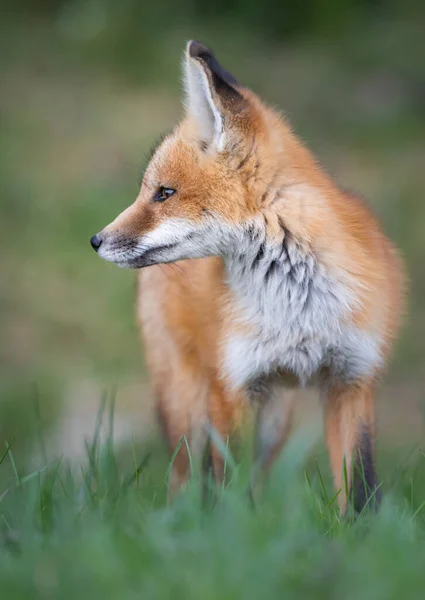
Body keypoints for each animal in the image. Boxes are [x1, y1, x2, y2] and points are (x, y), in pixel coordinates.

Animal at [90, 41, 404, 510]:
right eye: (151, 191)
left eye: (164, 193)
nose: (96, 240)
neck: (298, 305)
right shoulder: (231, 388)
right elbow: (224, 490)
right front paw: (224, 528)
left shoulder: (353, 380)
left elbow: (361, 489)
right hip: (187, 404)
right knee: (185, 480)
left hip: (275, 417)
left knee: (256, 476)